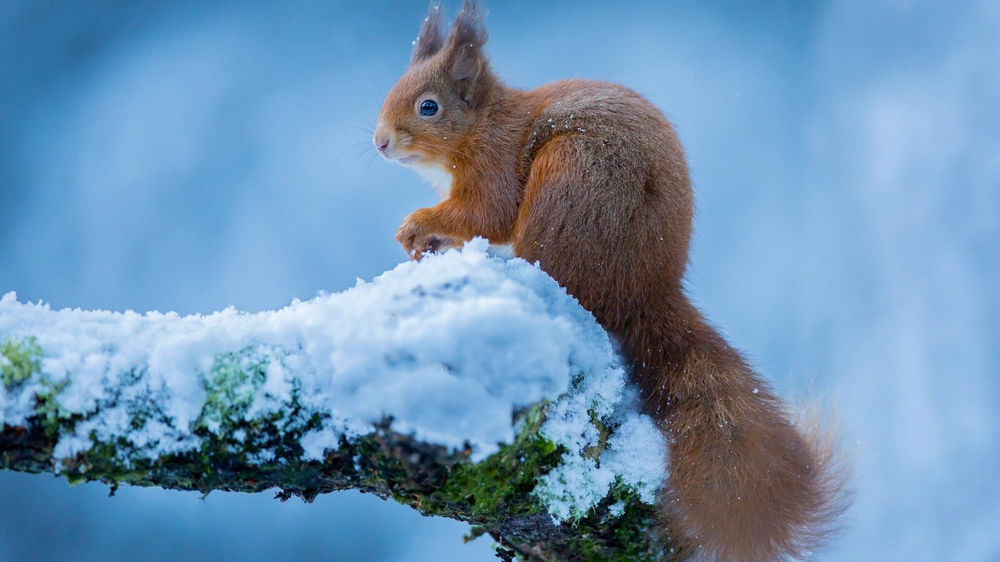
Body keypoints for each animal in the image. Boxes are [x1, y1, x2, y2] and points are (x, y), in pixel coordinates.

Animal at [374, 2, 847, 560]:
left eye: (429, 107)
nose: (380, 142)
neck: (483, 123)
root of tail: (643, 292)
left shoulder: (494, 166)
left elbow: (486, 213)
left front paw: (417, 226)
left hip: (568, 183)